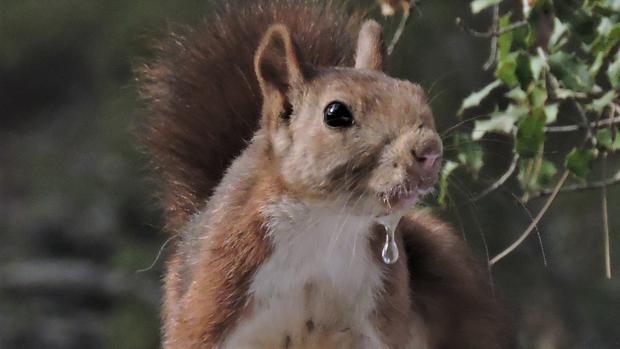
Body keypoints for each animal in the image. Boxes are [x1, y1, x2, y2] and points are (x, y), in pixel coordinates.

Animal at [139, 0, 512, 348]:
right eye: (335, 113)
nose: (430, 152)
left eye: (417, 94)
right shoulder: (212, 301)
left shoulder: (380, 317)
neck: (324, 226)